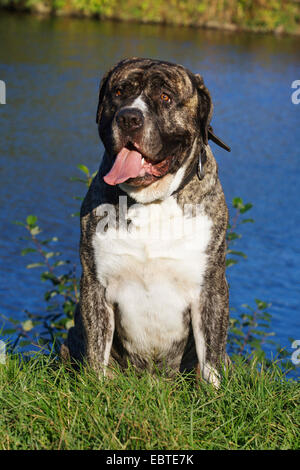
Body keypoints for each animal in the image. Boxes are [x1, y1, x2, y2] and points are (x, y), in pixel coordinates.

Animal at [60, 57, 230, 388]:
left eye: (165, 97)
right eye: (119, 92)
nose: (129, 117)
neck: (151, 200)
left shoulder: (211, 288)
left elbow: (210, 359)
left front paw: (213, 393)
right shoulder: (95, 284)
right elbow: (97, 351)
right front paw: (98, 389)